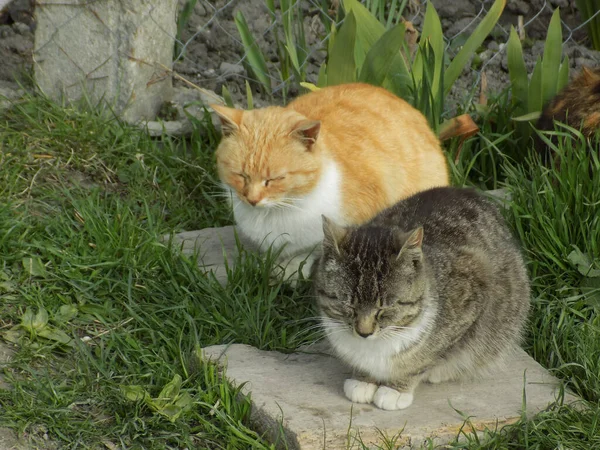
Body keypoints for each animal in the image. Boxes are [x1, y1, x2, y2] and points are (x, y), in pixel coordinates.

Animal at [314, 186, 528, 412]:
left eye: (386, 307)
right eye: (347, 304)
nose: (364, 332)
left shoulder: (474, 292)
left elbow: (426, 358)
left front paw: (396, 389)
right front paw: (363, 380)